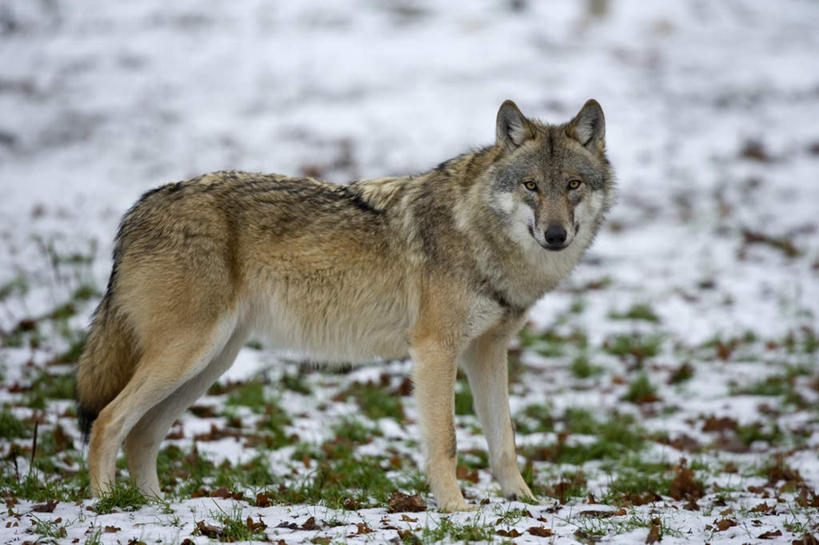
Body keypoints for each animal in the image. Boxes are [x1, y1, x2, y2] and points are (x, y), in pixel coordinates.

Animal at [77, 99, 616, 510]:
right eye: (531, 186)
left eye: (572, 185)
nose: (555, 235)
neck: (477, 231)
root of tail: (137, 210)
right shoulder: (435, 350)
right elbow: (446, 442)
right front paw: (458, 511)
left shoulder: (486, 352)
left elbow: (505, 442)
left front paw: (526, 504)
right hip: (189, 354)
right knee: (107, 422)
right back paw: (109, 506)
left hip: (210, 363)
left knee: (142, 435)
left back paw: (155, 508)